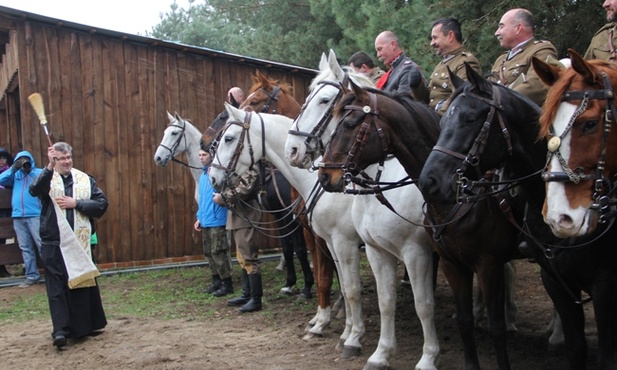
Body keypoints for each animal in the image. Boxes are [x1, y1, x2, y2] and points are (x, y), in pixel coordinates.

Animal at [211, 104, 438, 370]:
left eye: (228, 138)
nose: (213, 178)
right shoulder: (330, 242)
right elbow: (341, 286)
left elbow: (348, 287)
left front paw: (350, 336)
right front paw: (343, 331)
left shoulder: (343, 242)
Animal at [318, 81, 528, 370]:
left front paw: (428, 357)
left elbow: (424, 304)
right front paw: (380, 354)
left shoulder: (421, 254)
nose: (325, 175)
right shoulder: (378, 251)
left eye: (349, 124)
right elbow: (386, 302)